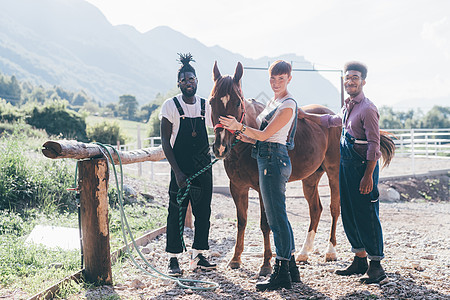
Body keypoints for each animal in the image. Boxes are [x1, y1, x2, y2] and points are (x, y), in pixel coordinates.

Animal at [210, 61, 342, 276]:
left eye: (238, 103)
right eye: (212, 102)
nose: (221, 147)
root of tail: (332, 117)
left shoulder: (263, 189)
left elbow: (265, 225)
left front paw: (266, 264)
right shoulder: (237, 188)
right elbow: (242, 221)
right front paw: (235, 259)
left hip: (334, 172)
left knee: (334, 208)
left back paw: (330, 251)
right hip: (310, 178)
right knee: (315, 209)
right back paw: (304, 253)